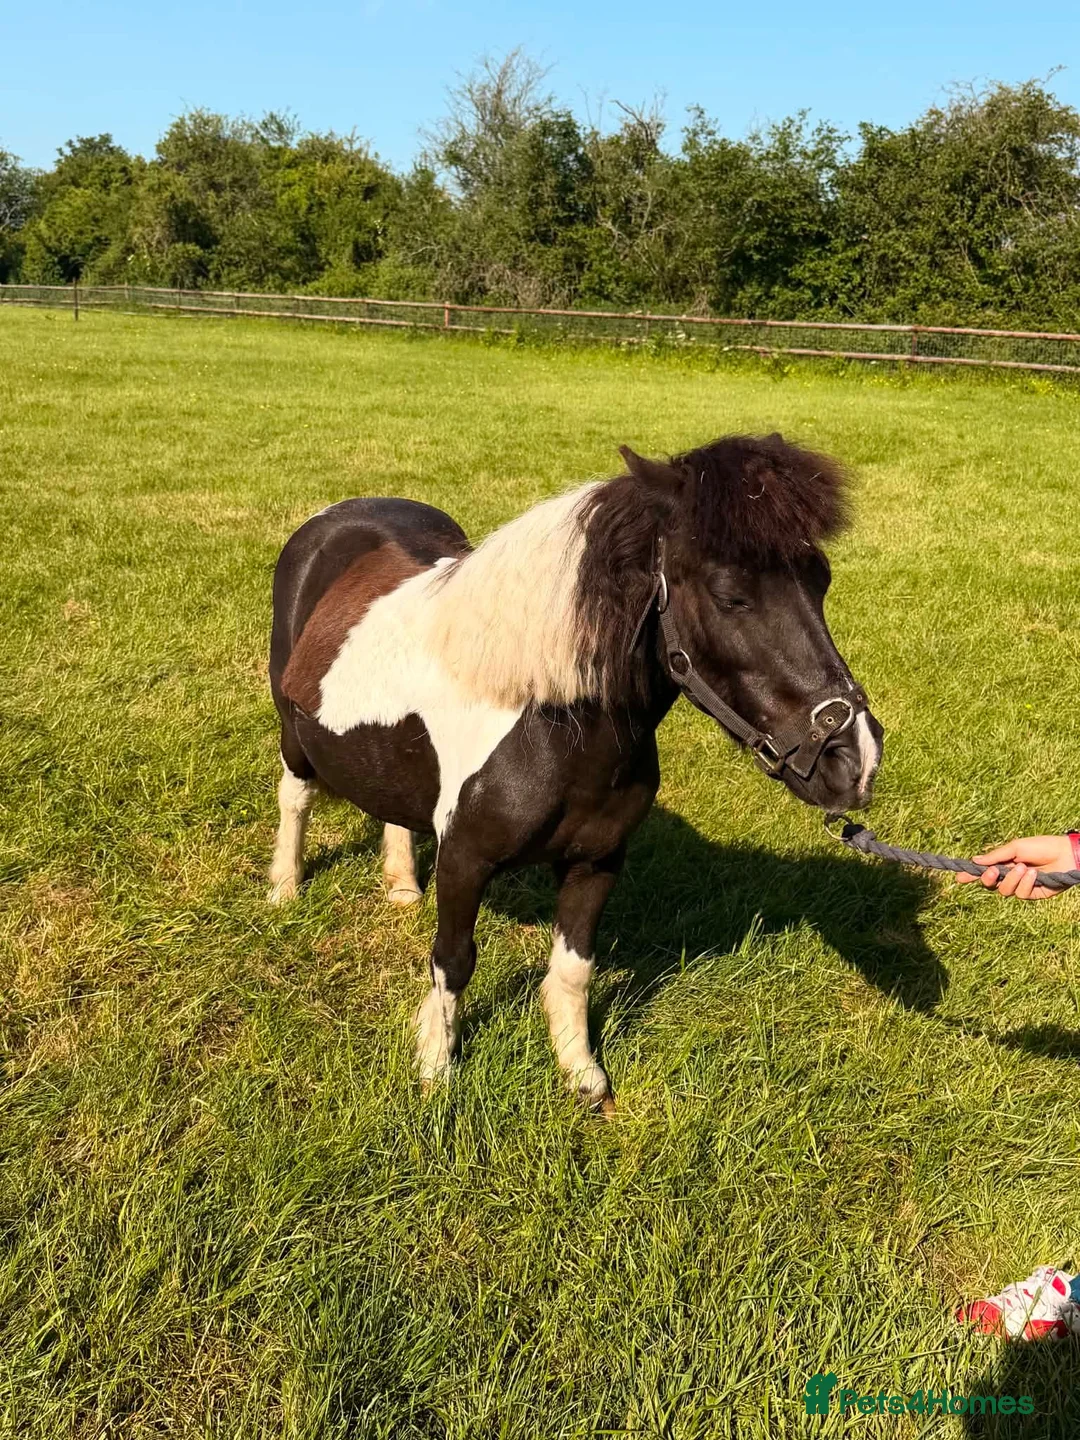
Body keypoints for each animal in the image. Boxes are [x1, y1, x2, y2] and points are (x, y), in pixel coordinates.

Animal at [267, 434, 883, 1108]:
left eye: (822, 582)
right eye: (731, 596)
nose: (856, 760)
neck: (549, 723)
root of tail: (336, 519)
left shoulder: (598, 861)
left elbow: (573, 968)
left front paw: (581, 1075)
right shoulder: (464, 860)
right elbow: (453, 960)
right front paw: (435, 1067)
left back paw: (402, 887)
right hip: (292, 734)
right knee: (294, 798)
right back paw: (284, 889)